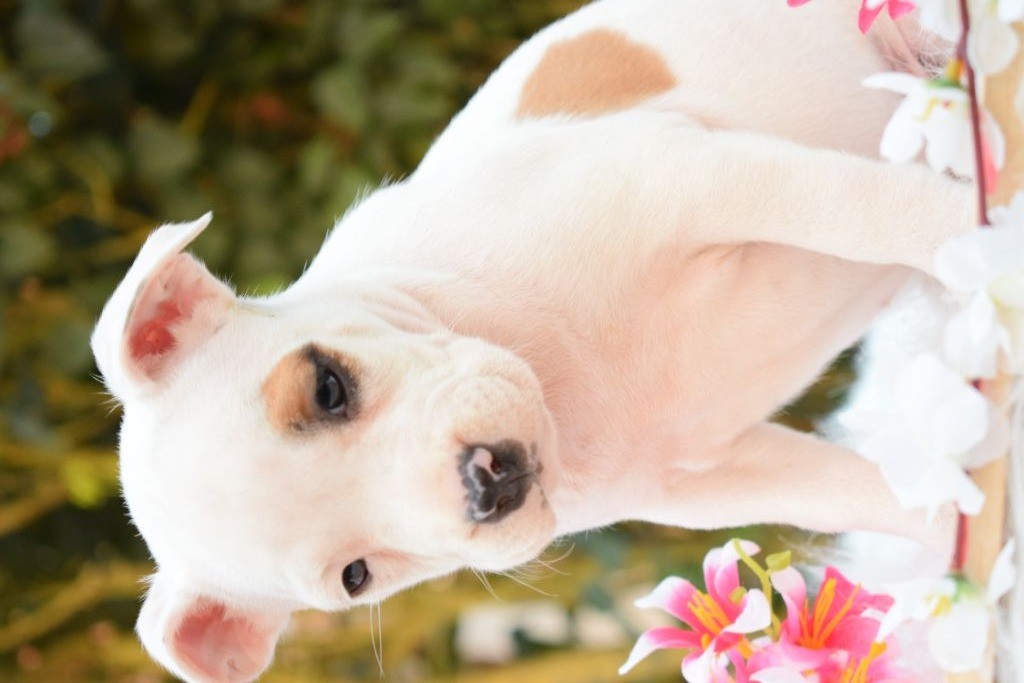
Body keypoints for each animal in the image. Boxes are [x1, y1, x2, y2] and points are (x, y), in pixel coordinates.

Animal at [91, 1, 975, 680]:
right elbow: (883, 499)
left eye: (327, 386)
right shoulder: (716, 475)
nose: (488, 483)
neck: (558, 375)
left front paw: (982, 244)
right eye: (355, 575)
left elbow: (879, 212)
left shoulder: (691, 180)